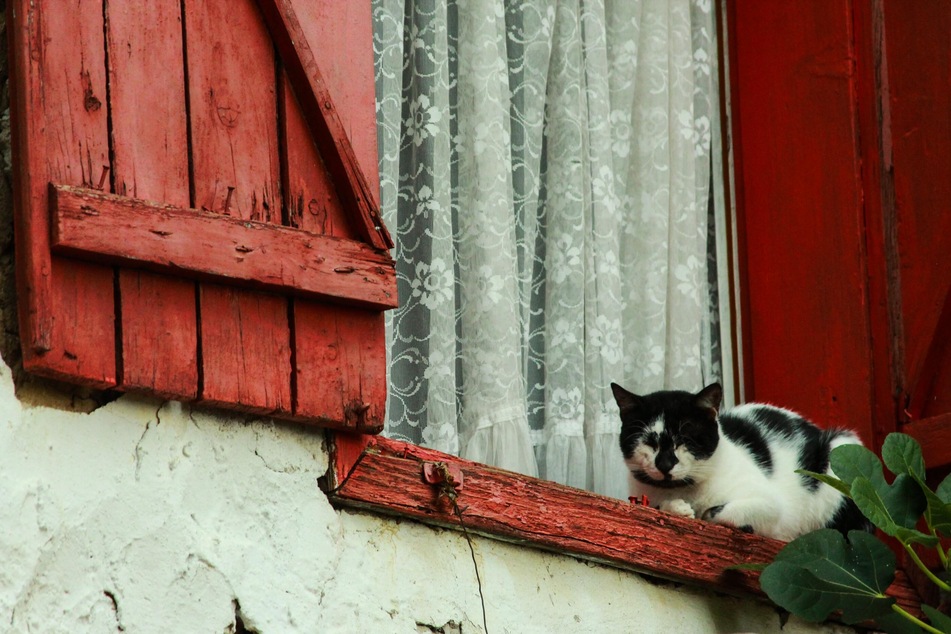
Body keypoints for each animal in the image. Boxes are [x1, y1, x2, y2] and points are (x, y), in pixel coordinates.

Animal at [612, 380, 872, 540]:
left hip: (840, 448)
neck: (687, 490)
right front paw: (677, 508)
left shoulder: (770, 502)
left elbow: (724, 512)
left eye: (685, 440)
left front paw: (708, 514)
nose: (665, 464)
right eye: (649, 441)